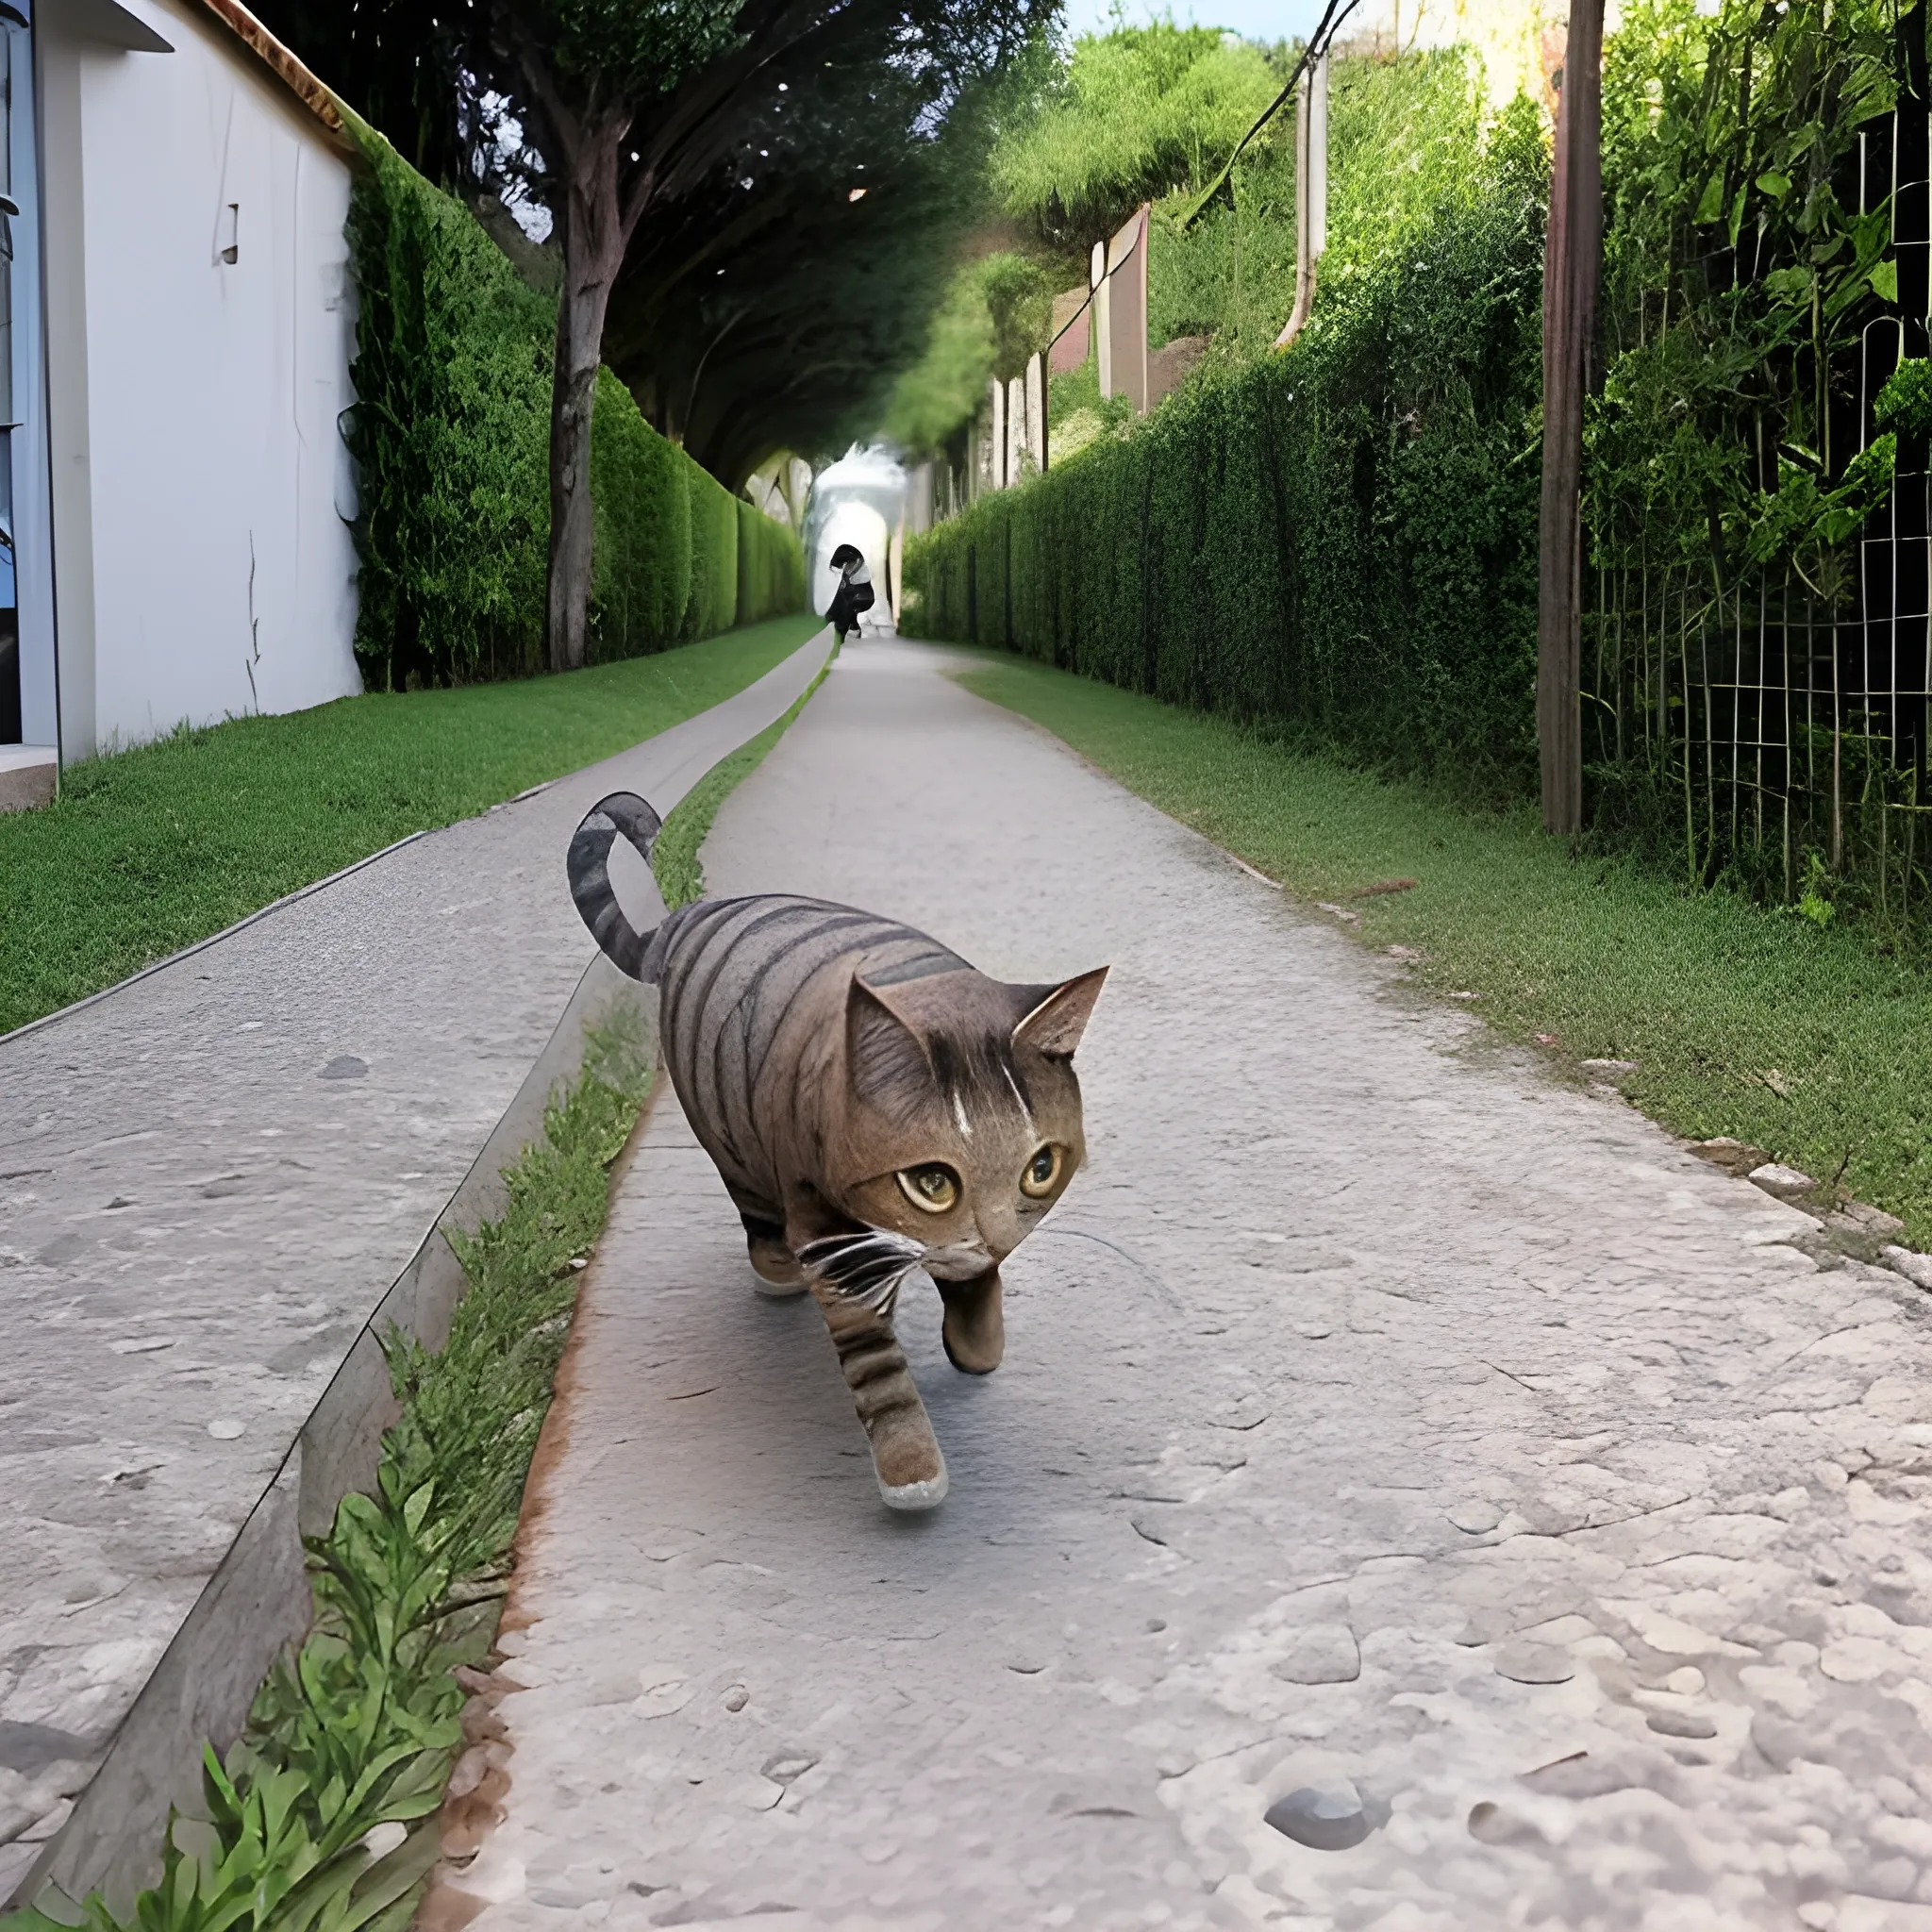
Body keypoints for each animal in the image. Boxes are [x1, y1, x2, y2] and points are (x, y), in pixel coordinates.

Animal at [564, 791, 1105, 1514]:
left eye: (1040, 1169)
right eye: (931, 1182)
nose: (992, 1235)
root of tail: (683, 917)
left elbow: (973, 1283)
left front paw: (975, 1341)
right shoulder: (829, 1235)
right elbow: (878, 1366)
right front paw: (910, 1465)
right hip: (729, 1137)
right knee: (755, 1209)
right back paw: (776, 1270)